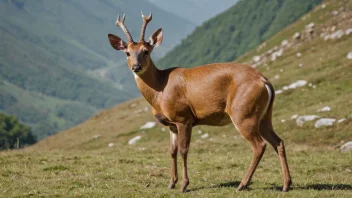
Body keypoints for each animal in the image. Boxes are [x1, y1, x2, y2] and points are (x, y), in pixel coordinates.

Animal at [107, 12, 292, 192]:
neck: (160, 90)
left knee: (259, 145)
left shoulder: (183, 117)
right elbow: (172, 151)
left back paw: (242, 184)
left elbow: (183, 151)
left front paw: (184, 185)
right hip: (264, 116)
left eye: (146, 51)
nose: (136, 67)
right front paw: (171, 183)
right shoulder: (171, 124)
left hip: (244, 113)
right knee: (278, 142)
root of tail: (264, 81)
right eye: (127, 52)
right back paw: (286, 185)